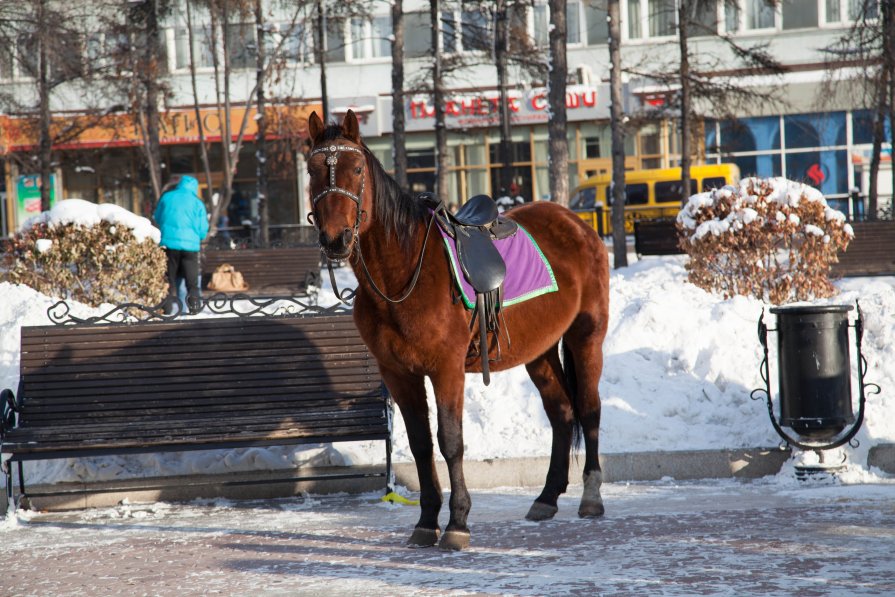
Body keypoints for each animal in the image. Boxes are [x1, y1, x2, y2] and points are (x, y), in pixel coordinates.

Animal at [306, 110, 608, 548]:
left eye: (357, 169)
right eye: (312, 170)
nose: (335, 238)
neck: (402, 276)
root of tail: (576, 223)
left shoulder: (446, 369)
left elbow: (450, 441)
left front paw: (458, 522)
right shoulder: (398, 374)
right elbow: (419, 444)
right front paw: (426, 520)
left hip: (586, 336)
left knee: (588, 408)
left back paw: (592, 496)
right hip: (539, 350)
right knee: (562, 412)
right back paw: (547, 497)